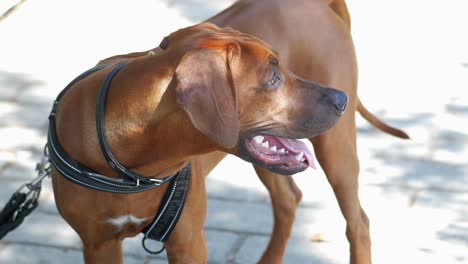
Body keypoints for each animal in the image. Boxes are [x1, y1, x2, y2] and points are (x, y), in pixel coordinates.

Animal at [53, 0, 408, 264]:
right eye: (273, 78)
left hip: (335, 147)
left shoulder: (189, 240)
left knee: (358, 223)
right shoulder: (98, 244)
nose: (341, 100)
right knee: (288, 199)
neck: (136, 167)